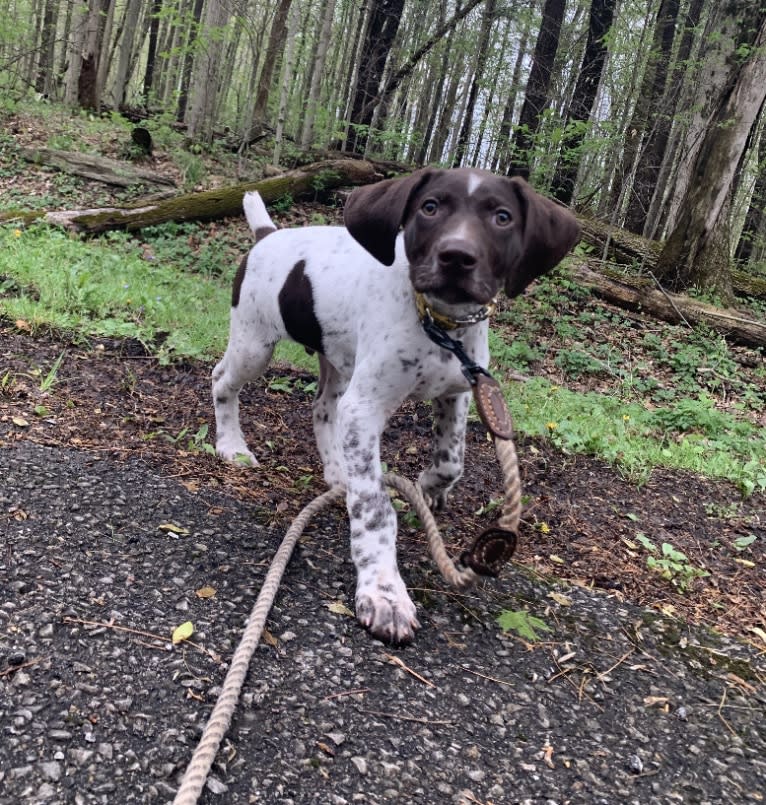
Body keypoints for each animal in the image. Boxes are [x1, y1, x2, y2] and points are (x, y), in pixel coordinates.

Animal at [213, 168, 580, 640]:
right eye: (430, 207)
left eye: (502, 217)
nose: (456, 257)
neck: (439, 325)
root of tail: (268, 234)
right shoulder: (367, 406)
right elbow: (375, 509)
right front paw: (383, 591)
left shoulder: (459, 392)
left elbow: (450, 461)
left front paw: (428, 491)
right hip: (254, 344)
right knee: (223, 382)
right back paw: (231, 446)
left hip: (340, 362)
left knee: (324, 409)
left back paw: (338, 473)